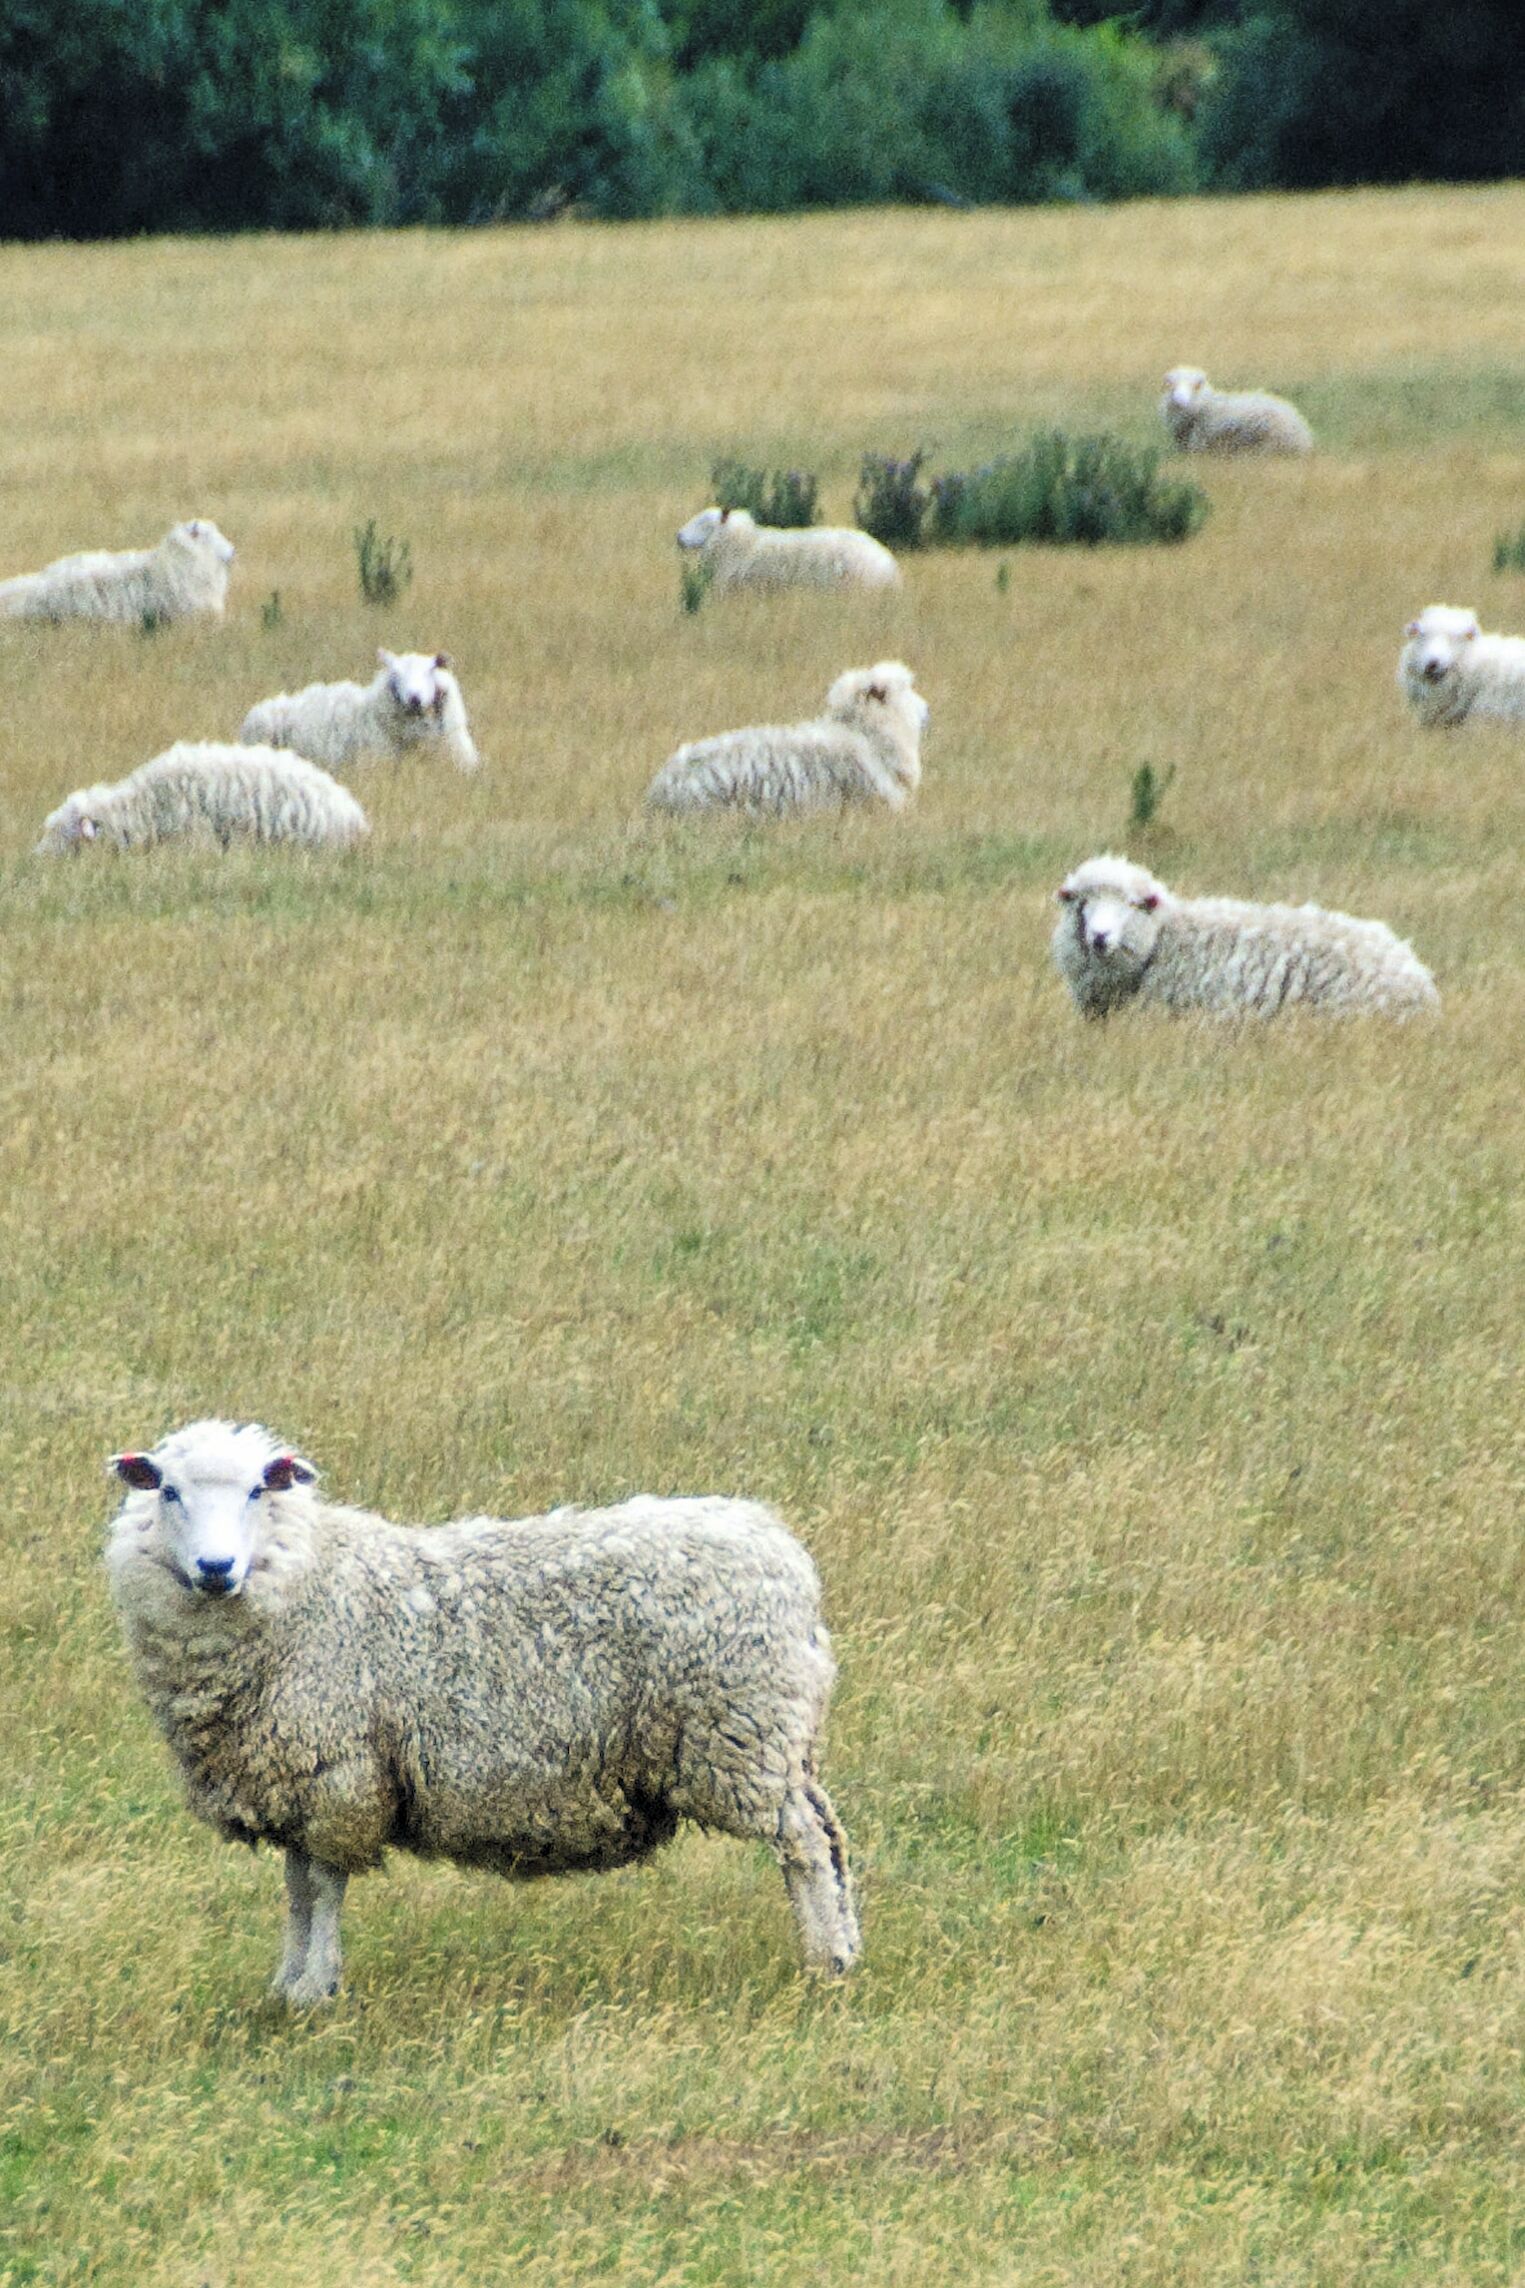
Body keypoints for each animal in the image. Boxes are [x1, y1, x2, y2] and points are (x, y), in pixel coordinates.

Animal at [106, 1420, 860, 2006]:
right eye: (167, 1491)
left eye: (258, 1490)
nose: (215, 1567)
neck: (307, 1583)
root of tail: (777, 1548)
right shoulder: (296, 1780)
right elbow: (296, 1890)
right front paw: (287, 1987)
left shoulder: (338, 1773)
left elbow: (322, 1884)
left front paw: (317, 1989)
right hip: (779, 1742)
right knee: (829, 1834)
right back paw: (848, 1949)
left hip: (742, 1737)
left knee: (803, 1846)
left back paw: (824, 1965)